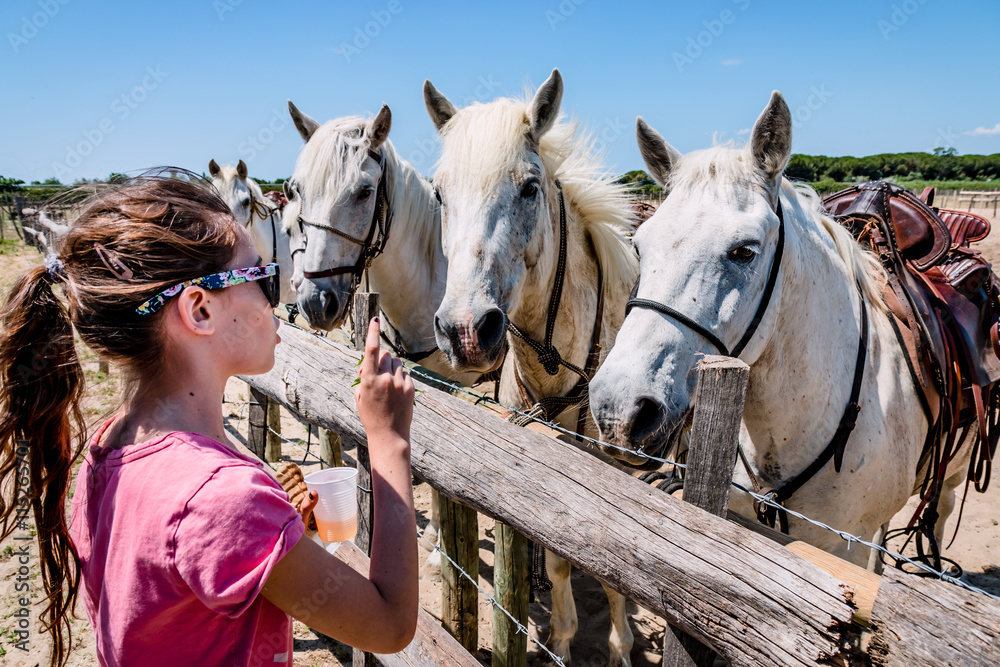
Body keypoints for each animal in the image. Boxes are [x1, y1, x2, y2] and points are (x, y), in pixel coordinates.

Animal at [423, 69, 639, 667]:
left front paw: (618, 645)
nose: (466, 330)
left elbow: (615, 572)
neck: (554, 365)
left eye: (529, 188)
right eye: (439, 193)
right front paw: (561, 634)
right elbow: (560, 555)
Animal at [588, 91, 976, 570]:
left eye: (744, 250)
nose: (618, 410)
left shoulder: (844, 547)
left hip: (954, 473)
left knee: (939, 512)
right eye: (640, 246)